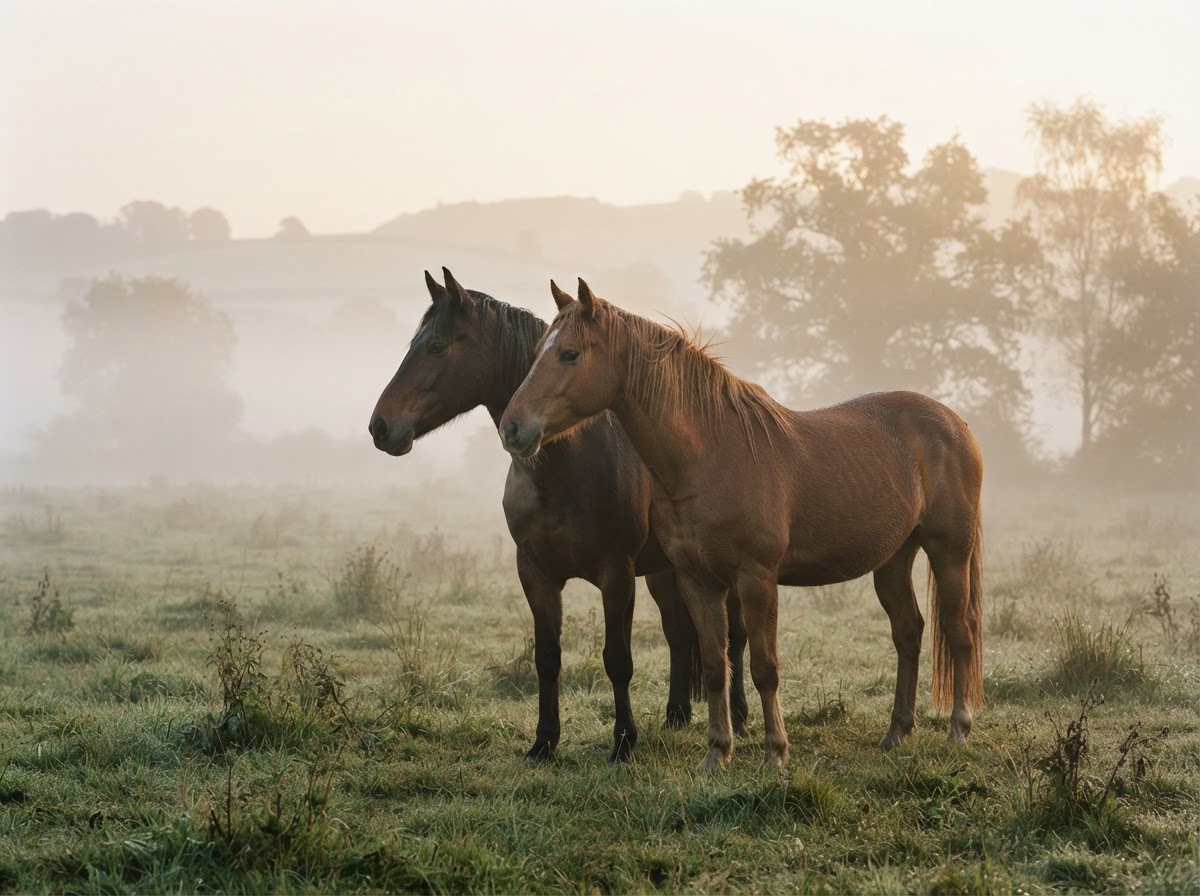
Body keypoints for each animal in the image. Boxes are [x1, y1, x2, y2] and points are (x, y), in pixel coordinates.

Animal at [368, 268, 748, 763]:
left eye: (436, 346)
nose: (380, 426)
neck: (568, 465)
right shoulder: (535, 572)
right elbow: (547, 658)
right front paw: (543, 742)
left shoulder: (616, 575)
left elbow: (618, 660)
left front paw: (623, 743)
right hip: (665, 570)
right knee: (679, 632)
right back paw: (676, 714)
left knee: (733, 636)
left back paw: (738, 716)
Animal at [499, 279, 985, 769]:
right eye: (539, 350)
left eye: (571, 354)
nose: (512, 428)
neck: (711, 454)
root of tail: (956, 423)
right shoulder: (698, 580)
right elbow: (717, 665)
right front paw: (717, 752)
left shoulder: (756, 578)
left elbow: (764, 667)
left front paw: (775, 753)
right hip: (893, 559)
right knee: (908, 632)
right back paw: (897, 731)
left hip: (949, 550)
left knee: (960, 632)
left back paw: (959, 730)